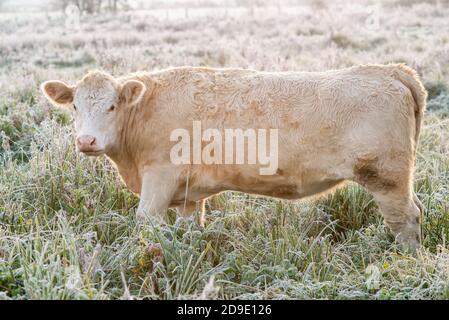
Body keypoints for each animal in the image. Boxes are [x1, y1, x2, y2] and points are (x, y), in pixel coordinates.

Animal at [40, 63, 426, 249]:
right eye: (74, 106)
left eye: (111, 105)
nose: (86, 140)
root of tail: (388, 70)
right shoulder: (188, 193)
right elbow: (188, 229)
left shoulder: (160, 177)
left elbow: (146, 223)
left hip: (387, 178)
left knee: (404, 220)